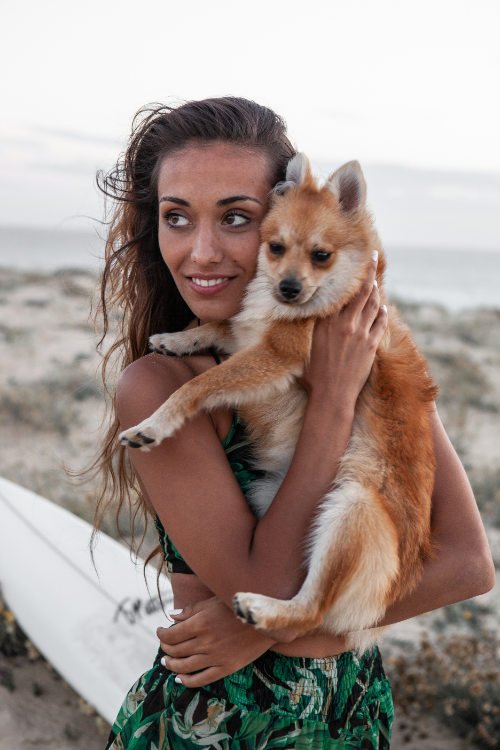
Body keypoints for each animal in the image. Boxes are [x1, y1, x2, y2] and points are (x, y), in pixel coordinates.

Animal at [119, 154, 436, 652]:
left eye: (321, 256)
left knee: (313, 612)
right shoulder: (252, 338)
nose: (286, 287)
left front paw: (154, 423)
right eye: (274, 248)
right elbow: (222, 327)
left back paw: (263, 608)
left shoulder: (276, 357)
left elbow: (201, 383)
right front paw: (177, 338)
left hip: (351, 510)